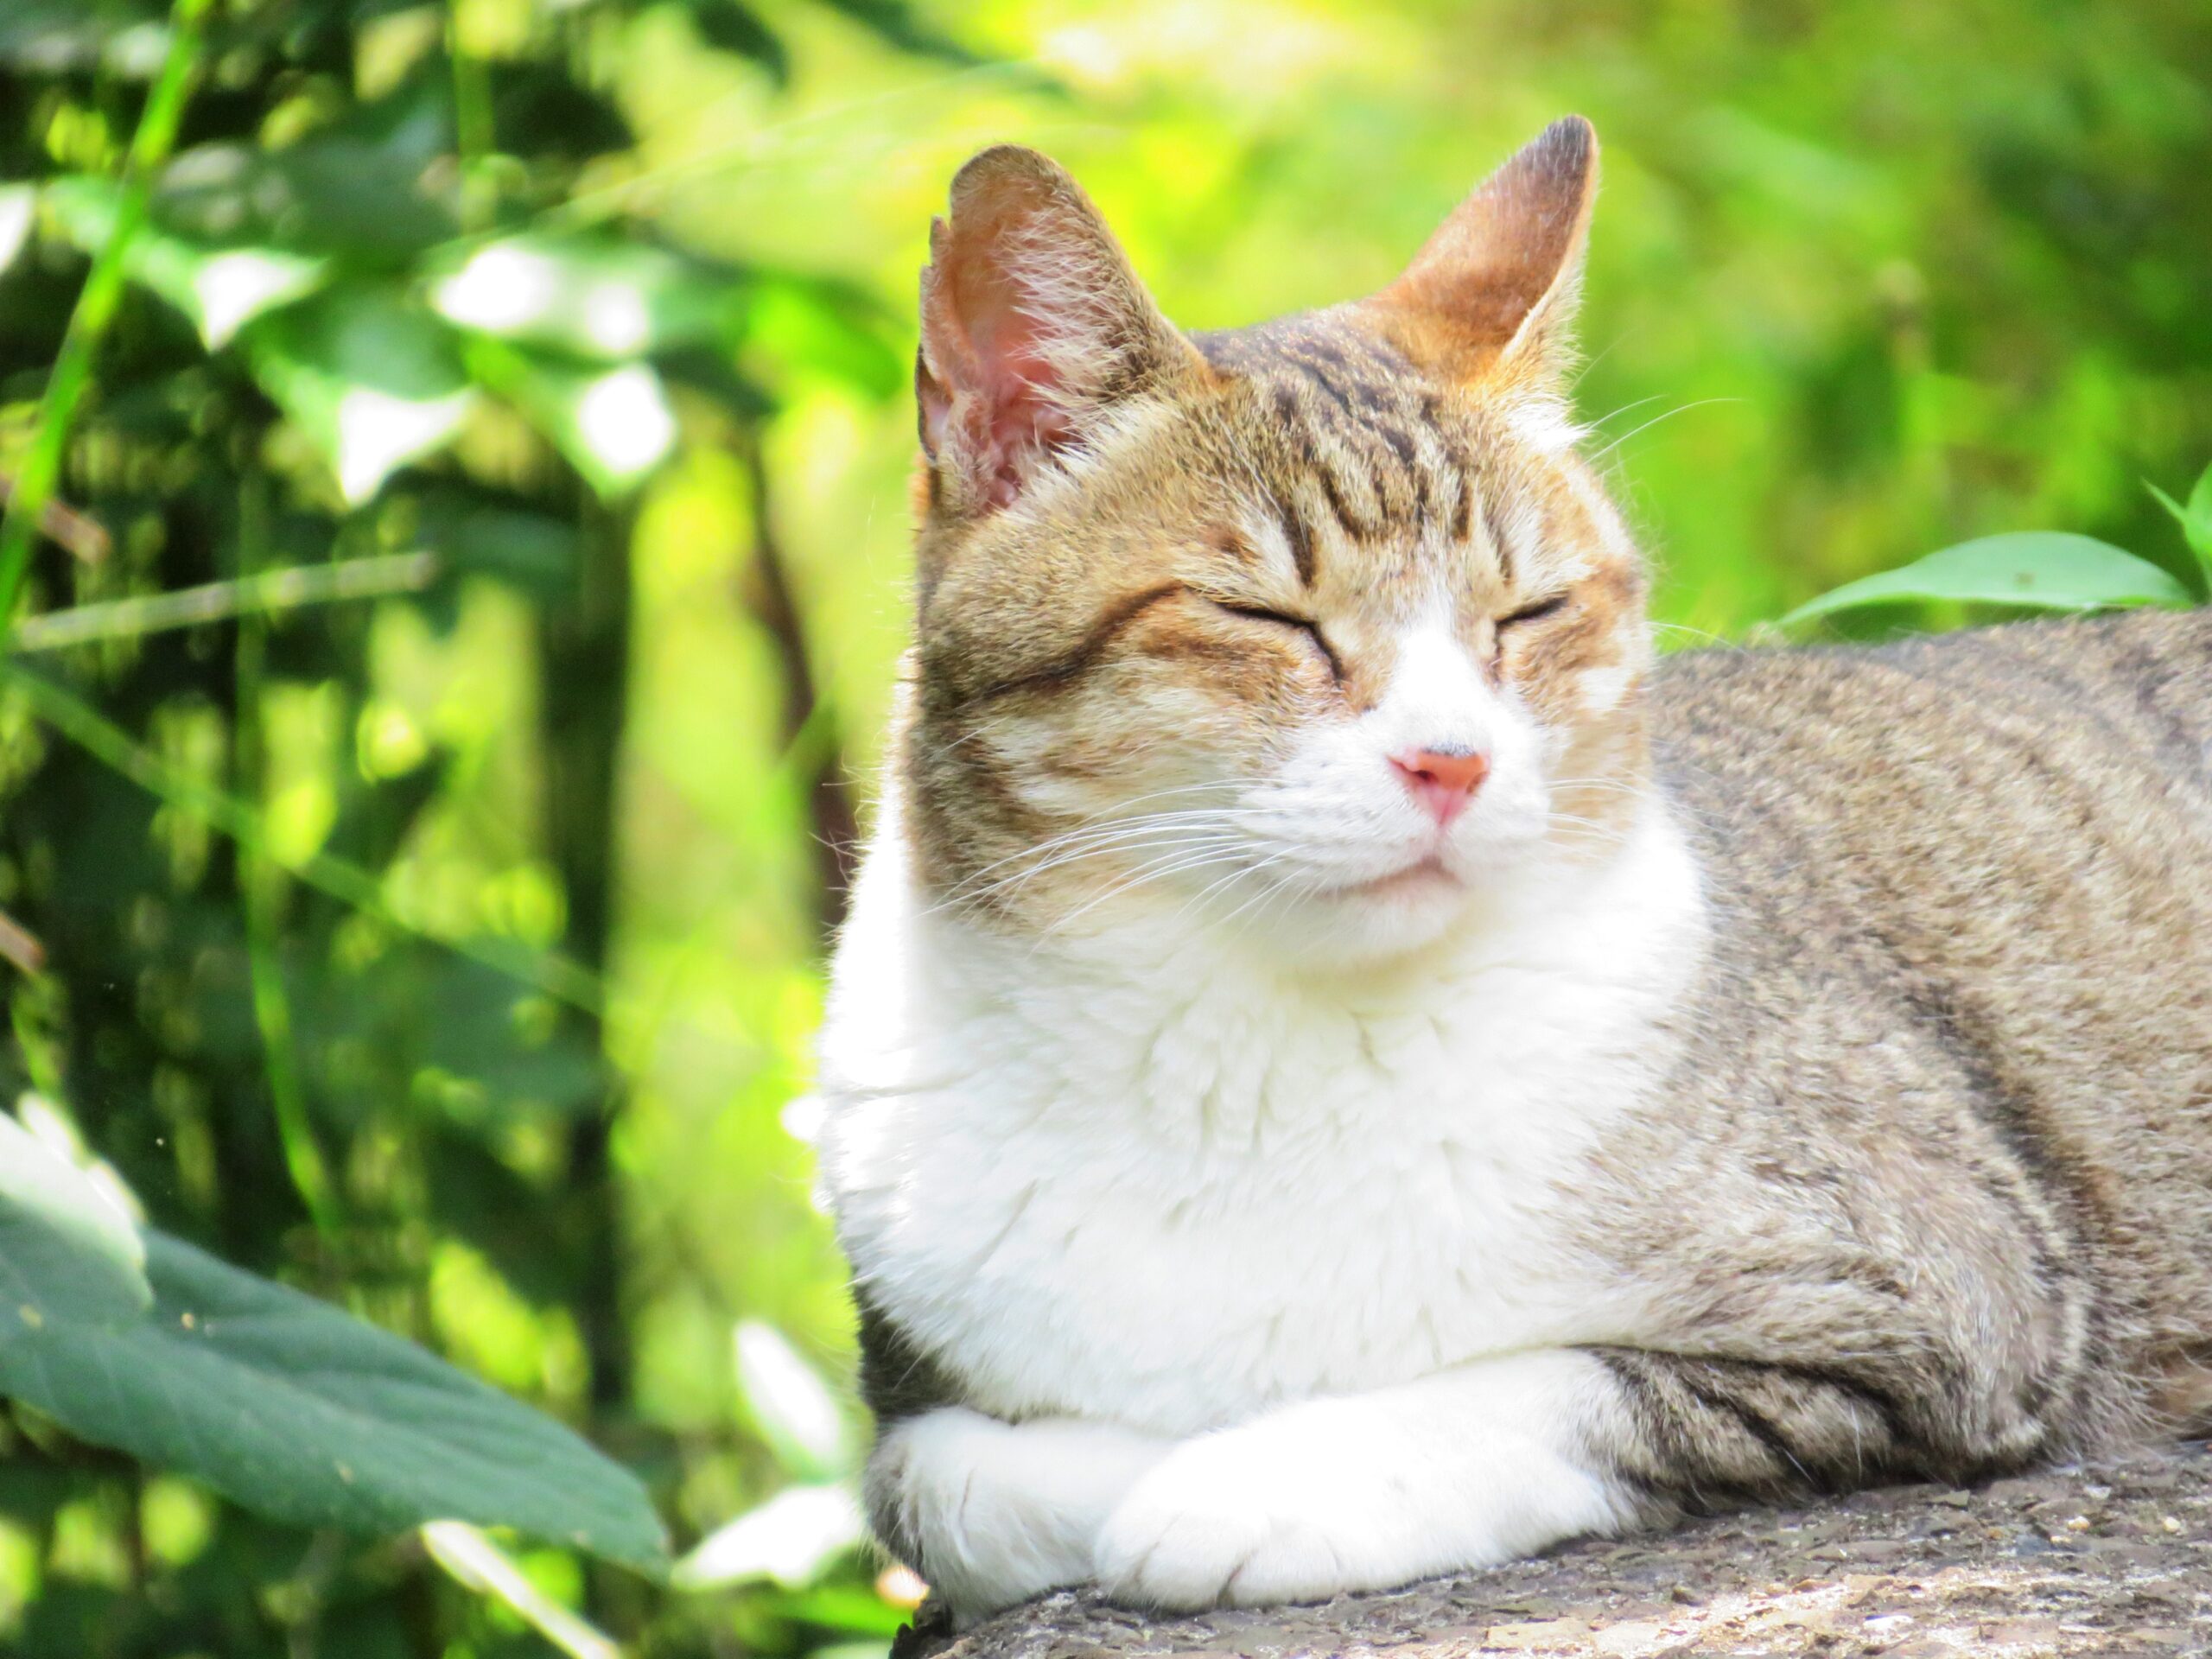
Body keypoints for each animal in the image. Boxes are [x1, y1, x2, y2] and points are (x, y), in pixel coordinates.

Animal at [809, 117, 2212, 1628]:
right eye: (1267, 617)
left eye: (1529, 614)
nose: (1452, 761)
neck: (1252, 1048)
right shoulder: (911, 1383)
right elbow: (934, 1480)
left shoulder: (1941, 1295)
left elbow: (1541, 1386)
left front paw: (1251, 1478)